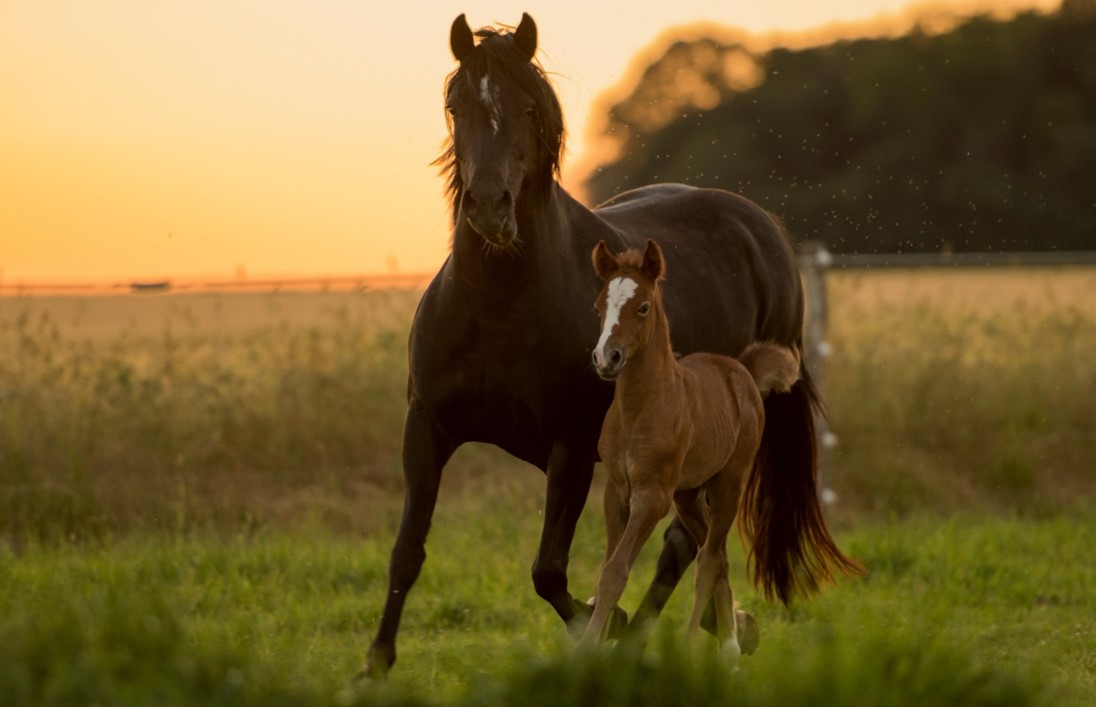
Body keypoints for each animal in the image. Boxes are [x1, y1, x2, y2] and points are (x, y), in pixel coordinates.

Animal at [579, 239, 843, 661]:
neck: (641, 407)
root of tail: (744, 372)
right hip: (688, 496)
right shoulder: (617, 492)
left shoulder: (652, 496)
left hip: (728, 484)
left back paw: (698, 649)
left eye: (643, 307)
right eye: (598, 305)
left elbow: (617, 570)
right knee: (716, 557)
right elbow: (607, 569)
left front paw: (586, 652)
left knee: (708, 560)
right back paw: (731, 647)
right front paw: (592, 648)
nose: (607, 358)